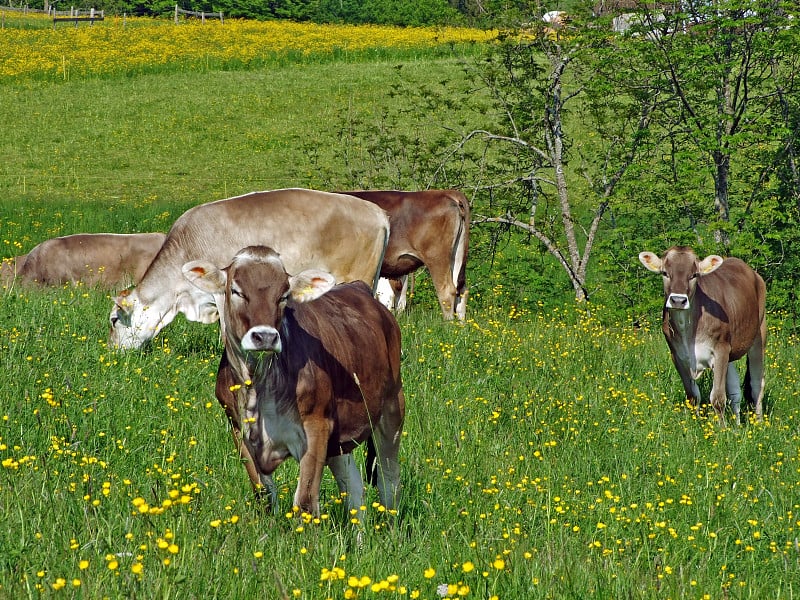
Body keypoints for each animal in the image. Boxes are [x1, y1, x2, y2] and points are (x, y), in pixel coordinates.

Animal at [184, 246, 404, 516]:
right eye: (236, 291)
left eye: (284, 296)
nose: (265, 336)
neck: (259, 386)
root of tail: (359, 288)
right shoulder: (238, 429)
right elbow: (265, 497)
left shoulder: (316, 428)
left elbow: (305, 503)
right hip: (340, 437)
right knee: (353, 486)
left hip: (392, 408)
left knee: (389, 481)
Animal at [342, 191, 468, 324]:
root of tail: (448, 193)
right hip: (457, 256)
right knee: (461, 290)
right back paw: (461, 325)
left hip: (437, 258)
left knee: (447, 291)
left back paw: (448, 324)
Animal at [640, 246, 764, 424]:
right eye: (665, 273)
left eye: (694, 275)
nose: (678, 300)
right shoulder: (677, 356)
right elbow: (692, 396)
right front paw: (695, 425)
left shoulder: (720, 351)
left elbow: (718, 398)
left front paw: (722, 428)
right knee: (735, 391)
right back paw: (737, 425)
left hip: (759, 334)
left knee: (757, 384)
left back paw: (759, 423)